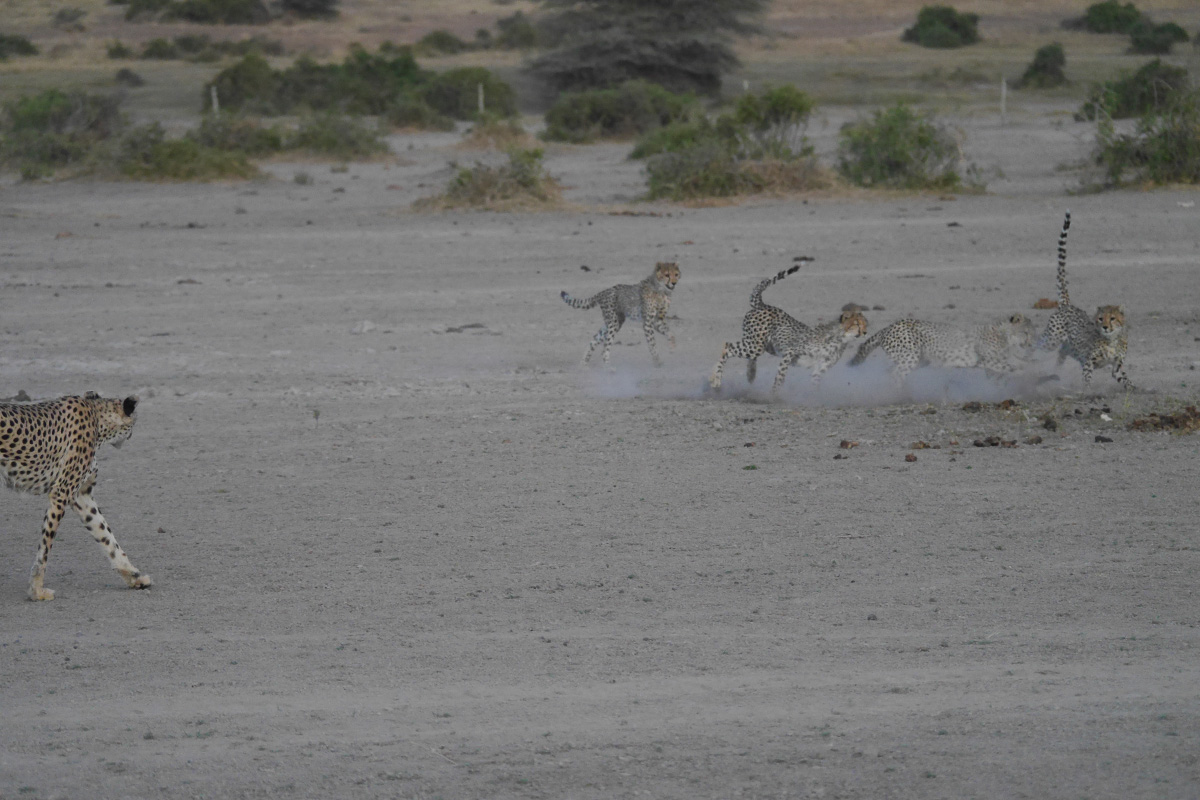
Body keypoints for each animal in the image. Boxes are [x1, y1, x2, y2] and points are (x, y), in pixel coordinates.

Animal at [1, 392, 149, 601]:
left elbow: (106, 535)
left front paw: (134, 576)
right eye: (134, 423)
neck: (97, 416)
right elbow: (45, 549)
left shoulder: (81, 496)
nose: (131, 436)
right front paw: (37, 590)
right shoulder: (61, 492)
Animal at [709, 260, 869, 393]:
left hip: (765, 346)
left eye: (865, 324)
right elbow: (781, 376)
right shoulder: (790, 351)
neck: (840, 339)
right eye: (856, 323)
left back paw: (750, 374)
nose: (865, 332)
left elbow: (815, 382)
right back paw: (716, 380)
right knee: (727, 346)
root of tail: (762, 305)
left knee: (747, 356)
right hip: (756, 345)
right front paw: (774, 395)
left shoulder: (820, 367)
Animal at [849, 314, 1035, 382]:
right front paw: (1032, 375)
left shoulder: (992, 366)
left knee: (888, 373)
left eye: (1031, 333)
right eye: (1026, 332)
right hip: (910, 357)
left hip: (919, 360)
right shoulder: (990, 360)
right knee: (895, 375)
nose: (1030, 344)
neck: (1004, 334)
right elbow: (1015, 367)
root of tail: (887, 328)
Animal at [1035, 210, 1131, 388]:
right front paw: (1087, 391)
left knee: (1060, 355)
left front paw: (1137, 388)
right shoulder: (1089, 361)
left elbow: (1127, 380)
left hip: (1067, 347)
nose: (1105, 327)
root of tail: (1068, 305)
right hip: (1051, 339)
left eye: (1112, 318)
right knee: (1036, 345)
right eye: (1100, 319)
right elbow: (1087, 379)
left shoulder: (1116, 365)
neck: (1111, 339)